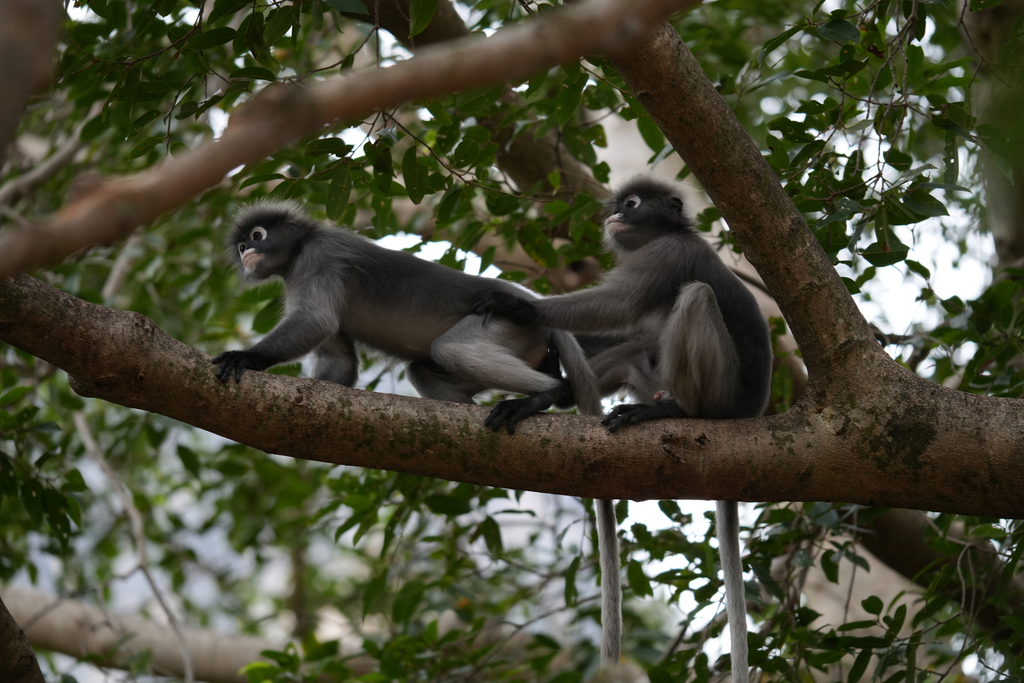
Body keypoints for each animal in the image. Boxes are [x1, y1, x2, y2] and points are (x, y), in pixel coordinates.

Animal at [468, 179, 770, 679]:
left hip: (721, 394)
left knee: (695, 296)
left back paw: (676, 413)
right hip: (654, 381)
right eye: (618, 204)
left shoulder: (669, 252)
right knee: (634, 347)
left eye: (632, 204)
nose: (615, 215)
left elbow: (619, 304)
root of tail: (749, 413)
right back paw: (558, 393)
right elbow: (629, 330)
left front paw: (518, 306)